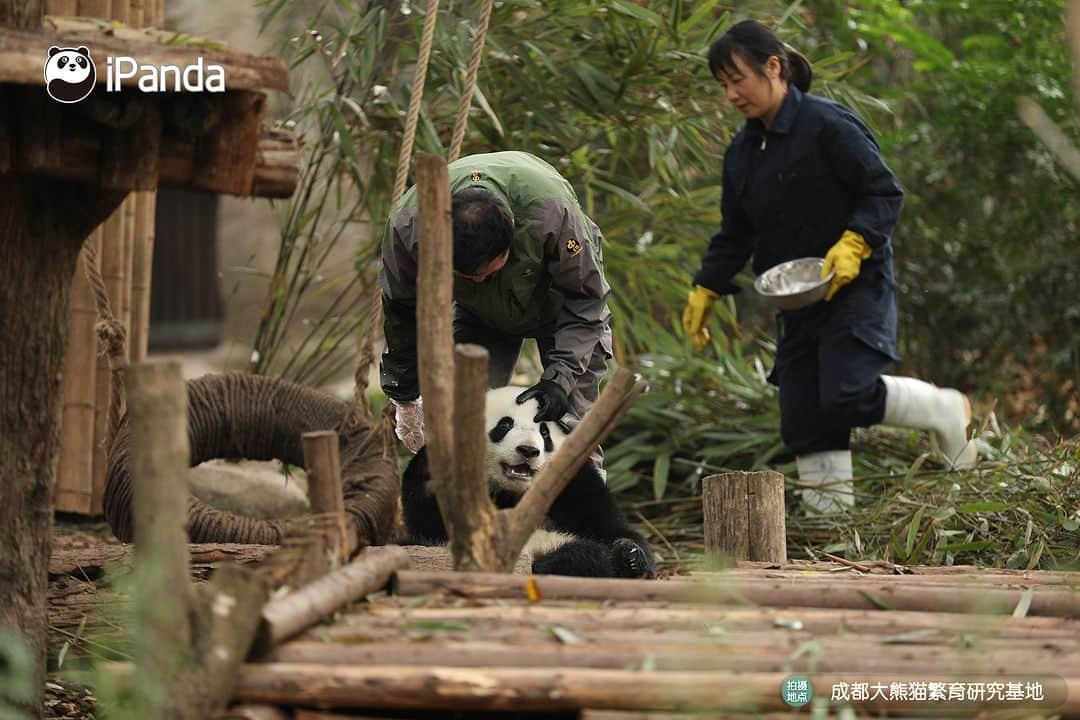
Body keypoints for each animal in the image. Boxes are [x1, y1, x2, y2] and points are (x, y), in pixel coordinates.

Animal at [403, 388, 656, 578]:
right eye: (504, 425)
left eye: (545, 433)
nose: (527, 450)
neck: (513, 490)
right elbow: (428, 520)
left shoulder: (574, 481)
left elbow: (608, 525)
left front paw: (632, 556)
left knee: (586, 556)